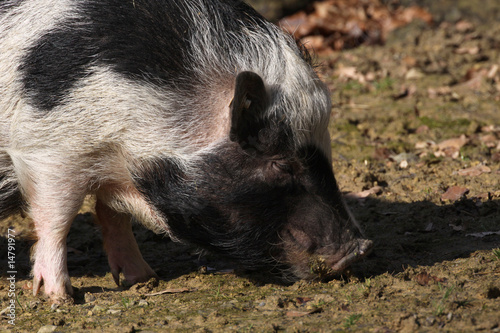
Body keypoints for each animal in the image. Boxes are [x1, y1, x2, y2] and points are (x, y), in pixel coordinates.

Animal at [0, 0, 374, 300]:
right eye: (281, 163)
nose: (360, 249)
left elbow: (112, 212)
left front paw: (143, 280)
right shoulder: (50, 150)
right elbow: (55, 220)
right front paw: (60, 298)